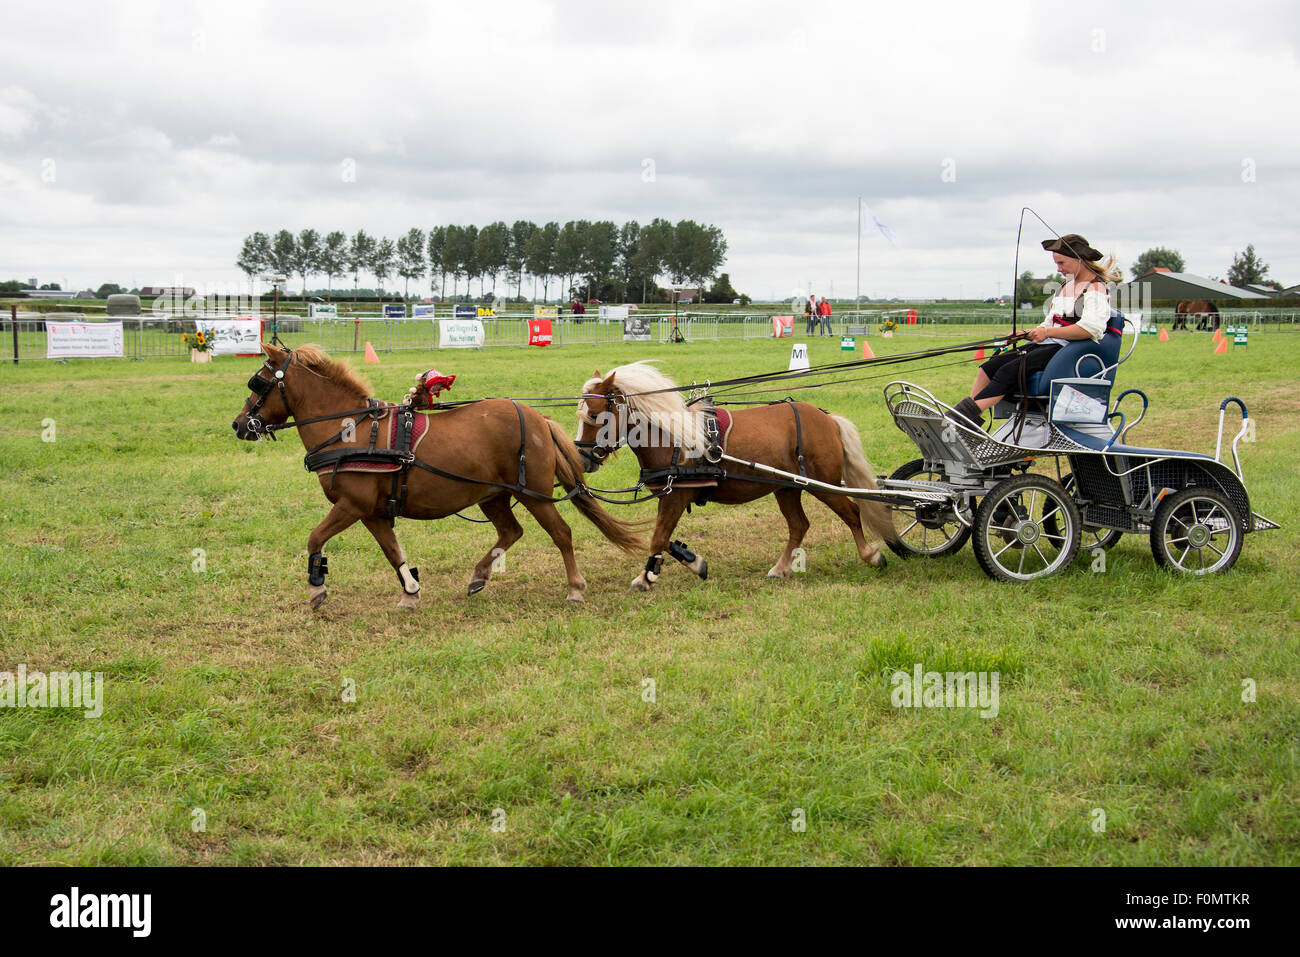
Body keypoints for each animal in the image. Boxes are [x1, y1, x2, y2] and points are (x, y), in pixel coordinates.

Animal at [231, 343, 643, 608]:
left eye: (257, 383)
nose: (239, 424)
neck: (352, 431)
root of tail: (537, 417)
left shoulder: (352, 505)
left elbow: (315, 538)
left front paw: (317, 590)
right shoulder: (372, 512)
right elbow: (393, 552)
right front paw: (410, 591)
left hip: (534, 494)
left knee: (561, 533)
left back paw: (575, 588)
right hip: (493, 495)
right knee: (511, 532)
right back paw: (478, 576)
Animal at [574, 361, 898, 591]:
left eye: (595, 415)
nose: (582, 458)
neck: (673, 439)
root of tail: (827, 418)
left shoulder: (676, 496)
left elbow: (657, 538)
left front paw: (646, 578)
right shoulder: (671, 498)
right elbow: (663, 538)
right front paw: (693, 562)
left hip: (824, 484)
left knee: (852, 512)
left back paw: (871, 555)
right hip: (787, 487)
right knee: (799, 525)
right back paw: (781, 568)